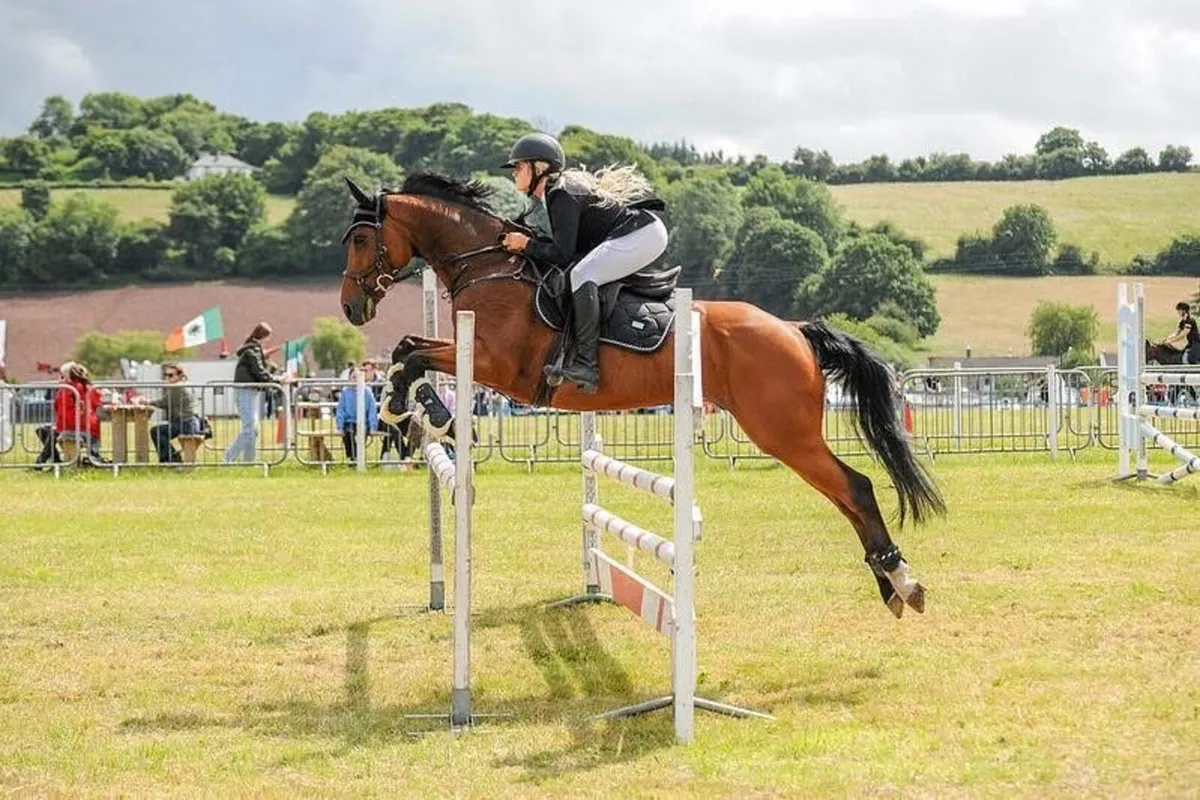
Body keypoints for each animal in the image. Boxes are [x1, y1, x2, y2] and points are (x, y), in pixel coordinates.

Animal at [338, 172, 945, 618]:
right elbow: (407, 348)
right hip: (785, 434)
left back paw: (903, 580)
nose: (350, 307)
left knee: (856, 488)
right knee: (845, 495)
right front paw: (407, 411)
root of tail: (795, 329)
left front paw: (427, 413)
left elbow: (415, 353)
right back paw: (891, 585)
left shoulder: (497, 366)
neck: (490, 266)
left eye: (362, 239)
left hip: (783, 432)